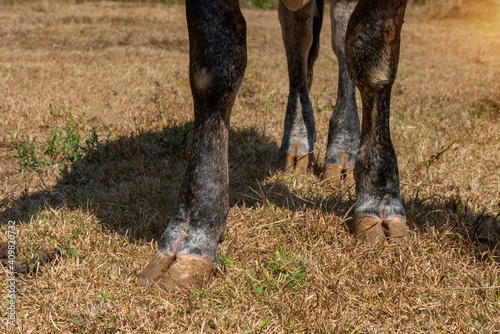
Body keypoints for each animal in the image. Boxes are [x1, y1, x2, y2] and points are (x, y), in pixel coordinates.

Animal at [139, 0, 408, 290]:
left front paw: (379, 199)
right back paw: (297, 145)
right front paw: (194, 231)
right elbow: (214, 71)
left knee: (341, 35)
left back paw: (342, 151)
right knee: (297, 36)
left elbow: (371, 56)